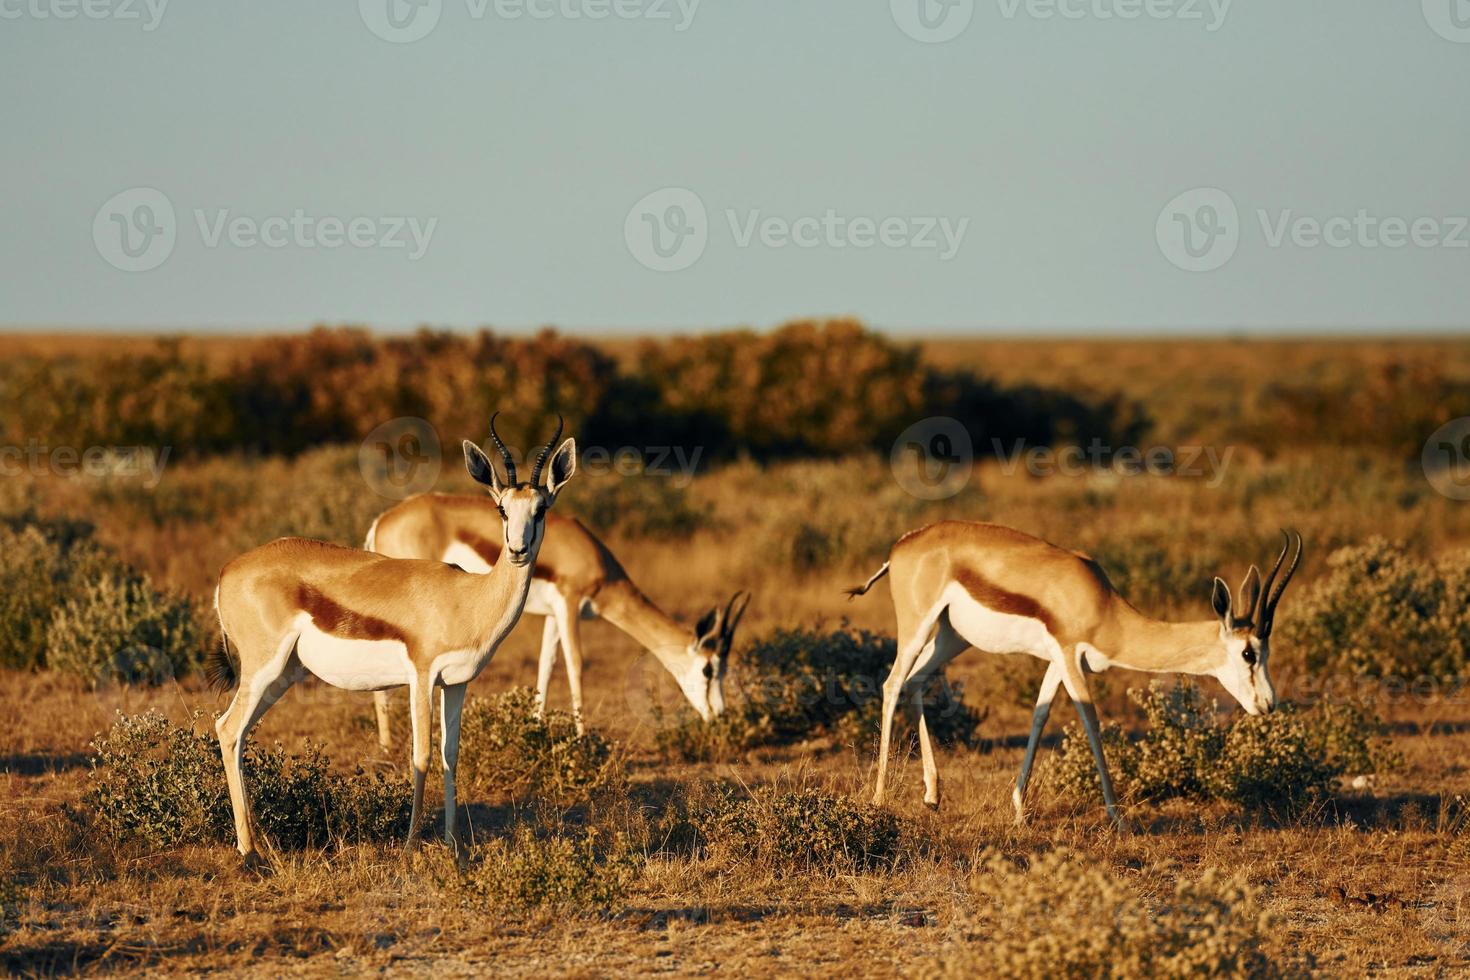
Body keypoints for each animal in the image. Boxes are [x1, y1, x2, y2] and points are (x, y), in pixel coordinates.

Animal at [211, 417, 573, 863]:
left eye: (541, 509)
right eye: (502, 508)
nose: (518, 550)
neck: (467, 598)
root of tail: (228, 570)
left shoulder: (456, 684)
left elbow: (451, 756)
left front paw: (454, 847)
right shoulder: (422, 677)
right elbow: (421, 756)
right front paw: (411, 846)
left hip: (282, 675)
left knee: (237, 734)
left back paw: (255, 844)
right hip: (264, 668)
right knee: (228, 728)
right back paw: (249, 852)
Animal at [361, 426, 740, 740]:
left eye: (541, 508)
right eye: (708, 669)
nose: (720, 716)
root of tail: (382, 521)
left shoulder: (552, 616)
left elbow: (546, 666)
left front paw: (536, 726)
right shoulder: (569, 605)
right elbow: (576, 664)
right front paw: (582, 736)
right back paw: (386, 746)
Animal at [846, 520, 1305, 828]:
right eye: (1249, 653)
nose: (1268, 704)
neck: (1104, 608)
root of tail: (902, 545)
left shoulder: (1057, 662)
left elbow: (1039, 715)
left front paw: (1019, 809)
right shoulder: (1069, 656)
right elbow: (1091, 722)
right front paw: (1118, 817)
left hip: (951, 637)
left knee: (916, 681)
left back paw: (932, 796)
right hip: (918, 626)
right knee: (892, 684)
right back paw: (880, 799)